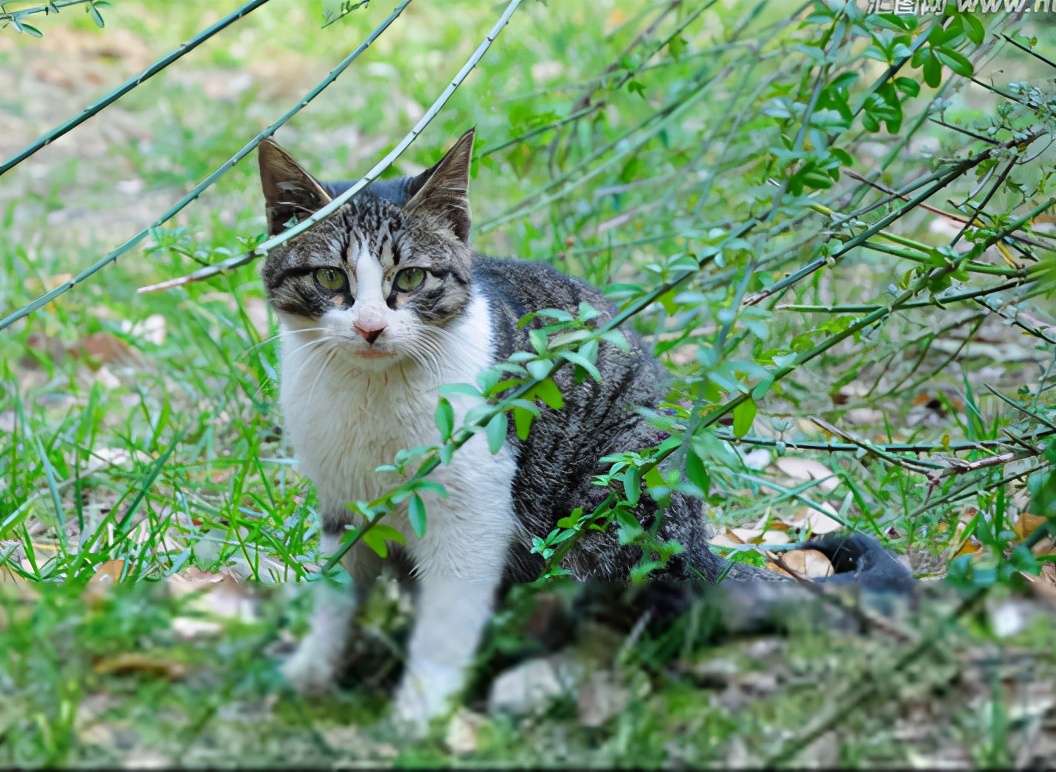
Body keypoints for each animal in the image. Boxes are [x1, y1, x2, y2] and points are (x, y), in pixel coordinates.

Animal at [257, 129, 916, 735]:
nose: (369, 328)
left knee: (641, 626)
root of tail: (703, 555)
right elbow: (337, 594)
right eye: (329, 279)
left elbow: (448, 621)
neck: (370, 398)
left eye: (412, 279)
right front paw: (313, 669)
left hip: (621, 492)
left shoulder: (474, 511)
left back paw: (536, 680)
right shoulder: (342, 503)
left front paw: (420, 711)